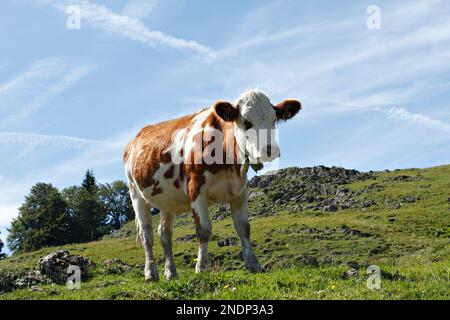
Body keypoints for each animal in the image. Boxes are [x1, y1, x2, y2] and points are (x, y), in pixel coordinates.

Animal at [122, 89, 302, 282]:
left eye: (274, 119)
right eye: (246, 122)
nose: (269, 150)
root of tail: (134, 140)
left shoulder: (240, 191)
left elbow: (244, 228)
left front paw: (253, 264)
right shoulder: (196, 189)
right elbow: (204, 230)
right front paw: (201, 267)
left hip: (166, 200)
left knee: (164, 234)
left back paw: (171, 273)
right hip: (136, 194)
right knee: (146, 234)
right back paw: (150, 273)